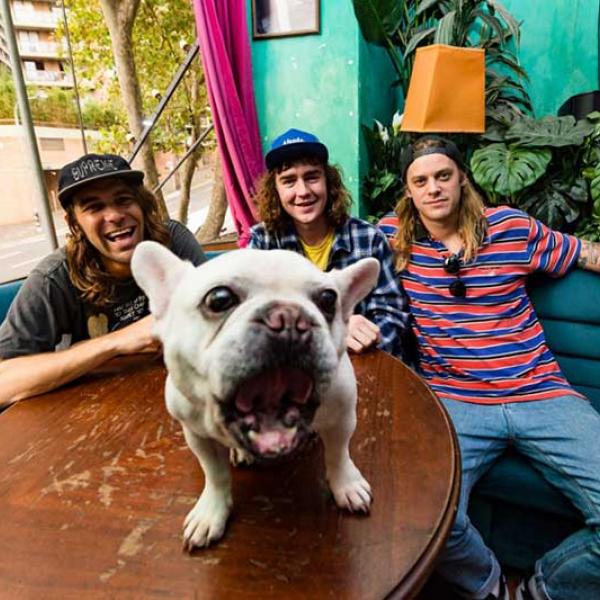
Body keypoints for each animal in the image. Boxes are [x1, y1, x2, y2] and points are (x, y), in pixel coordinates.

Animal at [131, 243, 380, 550]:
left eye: (328, 300)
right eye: (219, 299)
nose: (289, 317)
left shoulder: (342, 417)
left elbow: (338, 454)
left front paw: (346, 485)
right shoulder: (197, 435)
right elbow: (215, 474)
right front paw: (211, 512)